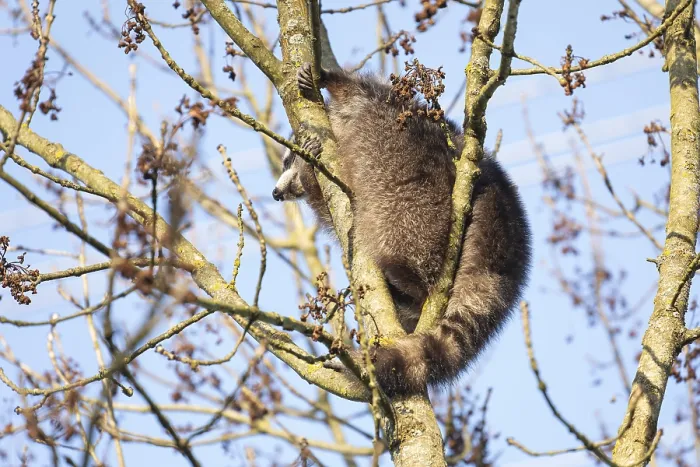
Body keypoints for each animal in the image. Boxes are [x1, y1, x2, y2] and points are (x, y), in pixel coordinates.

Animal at [272, 63, 531, 396]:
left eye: (287, 160)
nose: (276, 193)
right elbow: (330, 205)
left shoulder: (382, 107)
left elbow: (360, 90)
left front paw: (328, 77)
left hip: (422, 207)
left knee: (399, 230)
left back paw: (408, 280)